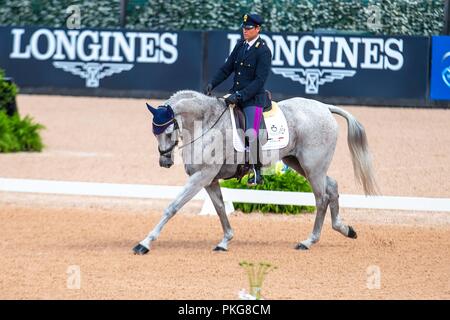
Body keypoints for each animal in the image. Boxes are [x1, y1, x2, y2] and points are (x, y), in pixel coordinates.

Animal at [132, 90, 378, 255]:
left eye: (169, 131)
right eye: (154, 133)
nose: (164, 161)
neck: (207, 124)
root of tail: (324, 107)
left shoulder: (201, 176)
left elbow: (172, 207)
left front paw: (144, 243)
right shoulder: (209, 179)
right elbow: (220, 208)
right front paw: (225, 241)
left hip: (313, 166)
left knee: (321, 198)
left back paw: (308, 241)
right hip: (300, 163)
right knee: (332, 187)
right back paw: (345, 229)